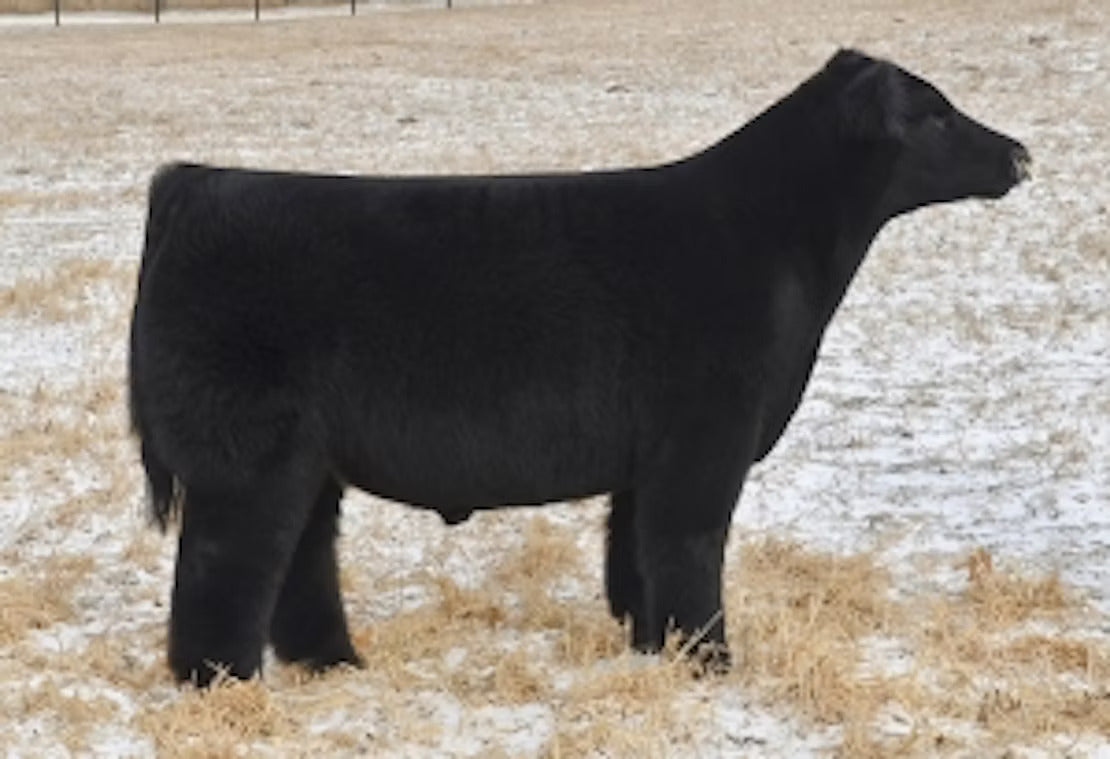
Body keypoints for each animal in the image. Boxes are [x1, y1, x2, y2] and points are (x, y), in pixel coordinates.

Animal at [129, 49, 1029, 686]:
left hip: (310, 460)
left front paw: (655, 651)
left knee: (301, 559)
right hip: (250, 458)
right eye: (936, 116)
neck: (775, 239)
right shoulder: (706, 437)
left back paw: (335, 664)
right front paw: (712, 664)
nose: (1020, 154)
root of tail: (192, 183)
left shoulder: (649, 458)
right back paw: (224, 683)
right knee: (227, 568)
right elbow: (690, 547)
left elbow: (636, 558)